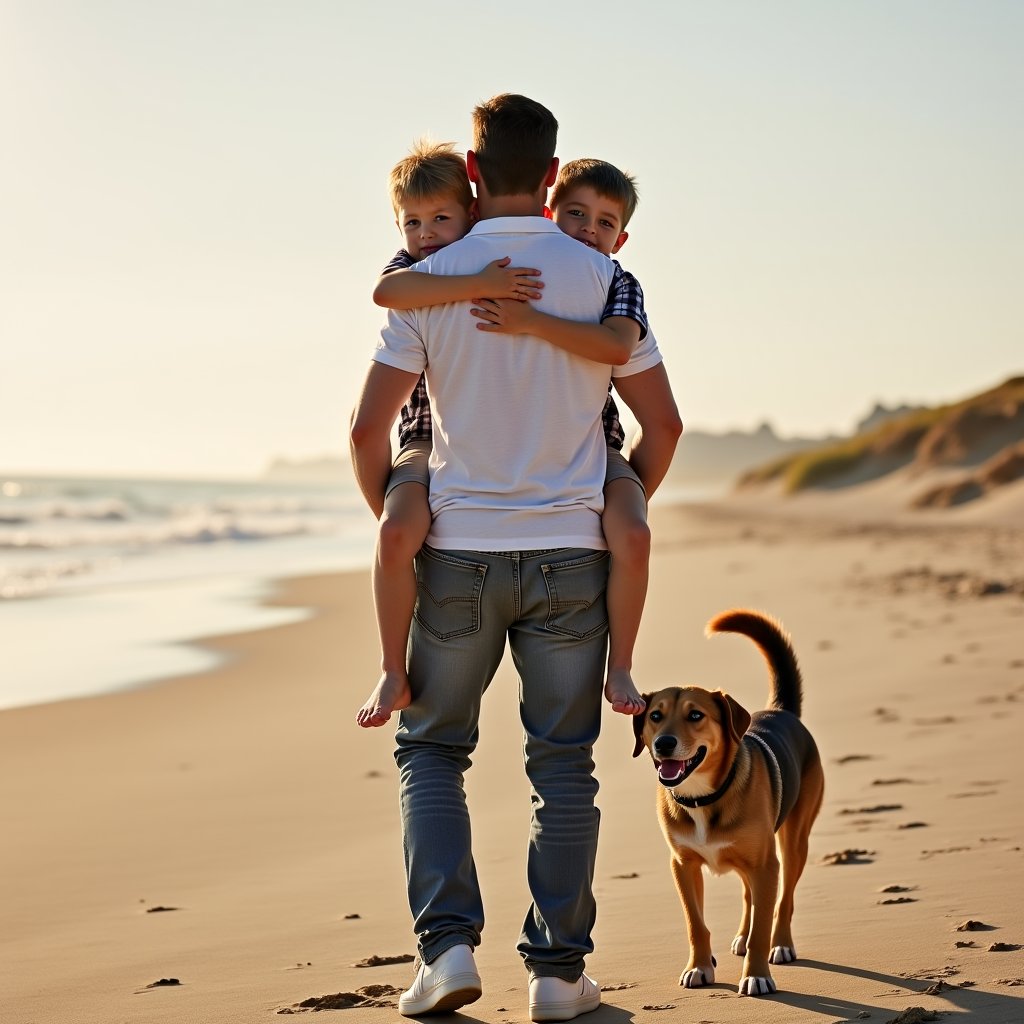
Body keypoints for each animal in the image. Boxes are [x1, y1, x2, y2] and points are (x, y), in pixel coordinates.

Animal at [630, 610, 823, 995]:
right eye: (655, 716)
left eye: (695, 715)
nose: (663, 744)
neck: (701, 797)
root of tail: (781, 711)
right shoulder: (683, 865)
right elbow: (696, 924)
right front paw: (699, 967)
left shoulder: (766, 865)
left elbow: (765, 922)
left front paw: (757, 975)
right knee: (750, 895)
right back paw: (742, 936)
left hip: (792, 844)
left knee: (784, 899)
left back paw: (782, 944)